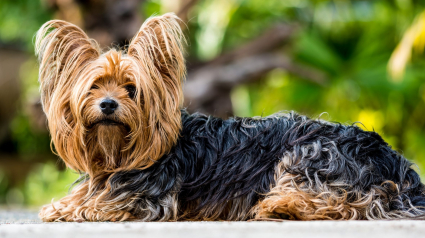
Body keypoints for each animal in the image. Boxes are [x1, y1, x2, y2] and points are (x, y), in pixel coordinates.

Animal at [35, 12, 424, 221]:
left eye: (132, 89)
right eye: (94, 87)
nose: (108, 105)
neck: (118, 153)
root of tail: (400, 167)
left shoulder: (146, 202)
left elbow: (92, 207)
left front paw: (65, 209)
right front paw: (64, 204)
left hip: (313, 153)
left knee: (346, 204)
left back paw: (279, 207)